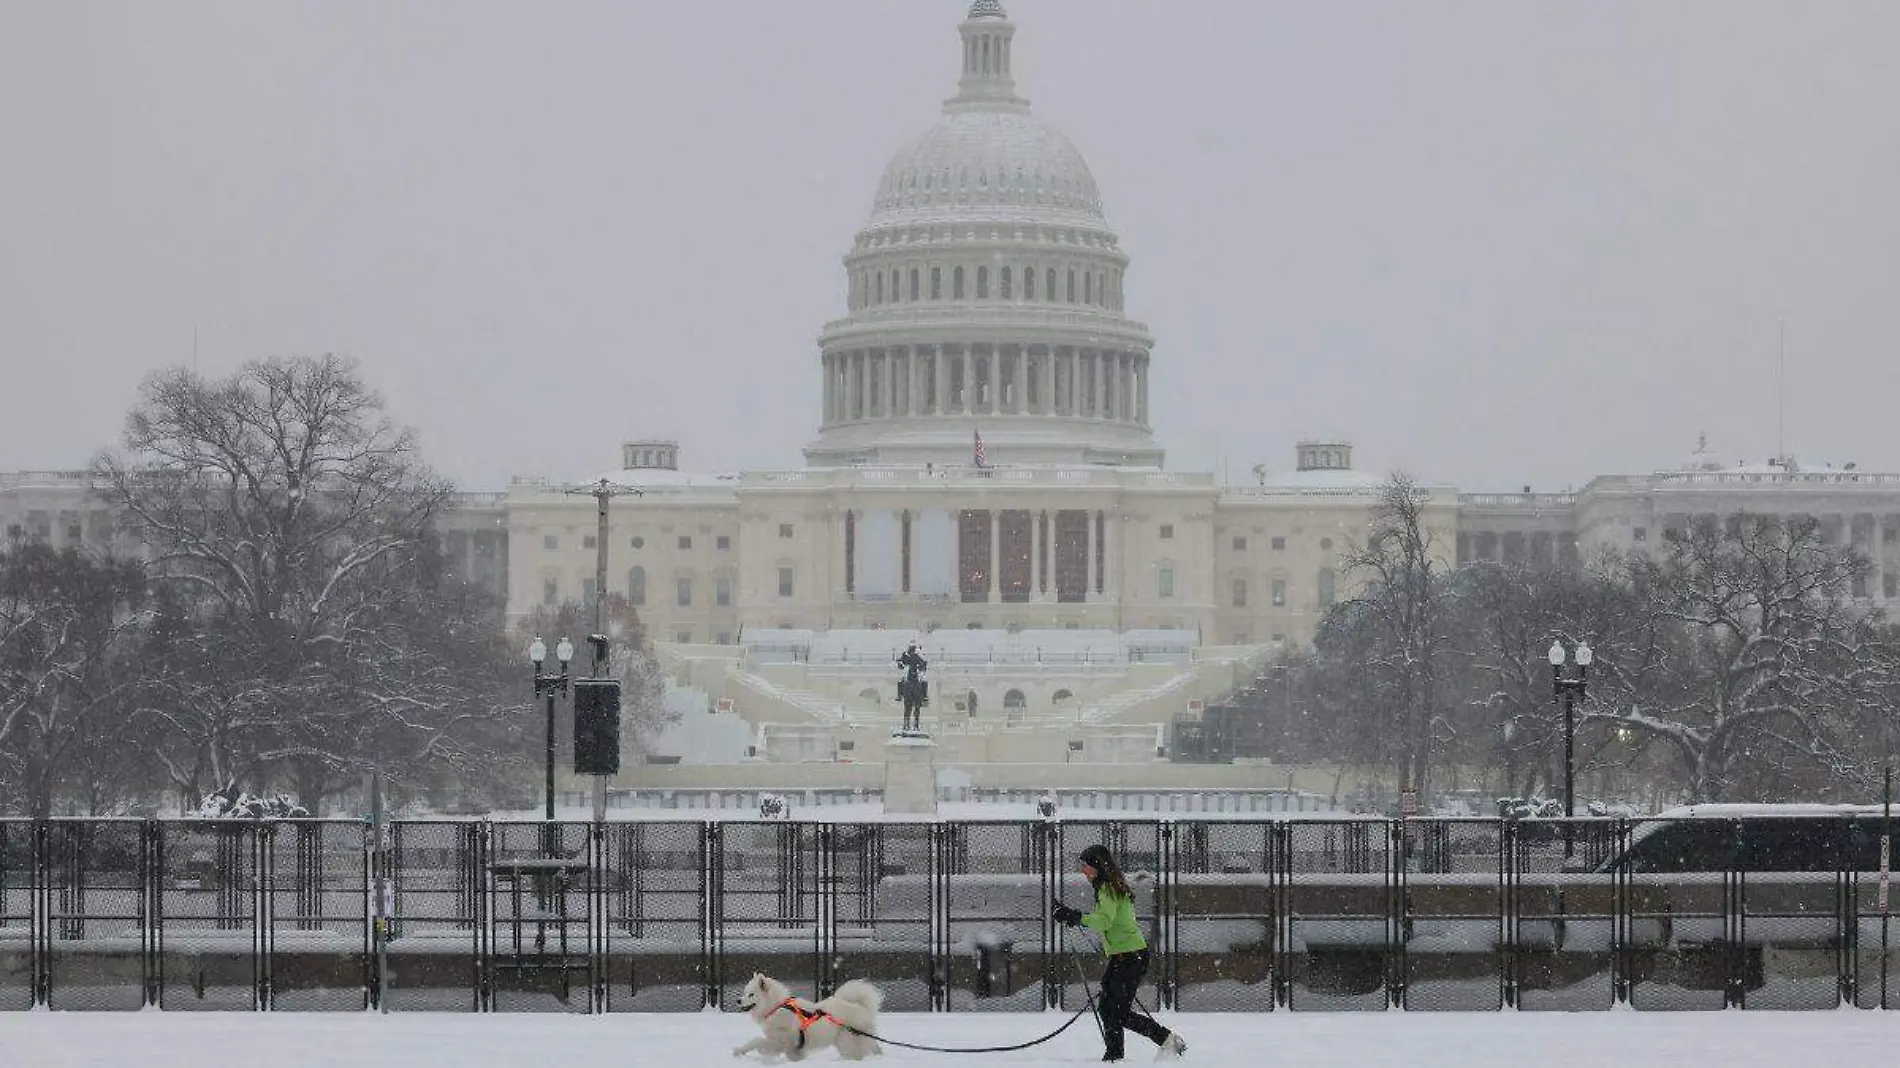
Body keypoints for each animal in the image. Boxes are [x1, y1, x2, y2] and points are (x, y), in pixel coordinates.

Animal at [733, 972, 889, 1056]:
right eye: (745, 992)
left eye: (751, 994)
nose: (738, 1000)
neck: (776, 1006)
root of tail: (860, 1006)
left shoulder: (780, 1041)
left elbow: (757, 1041)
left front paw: (740, 1051)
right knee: (875, 1047)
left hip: (846, 1041)